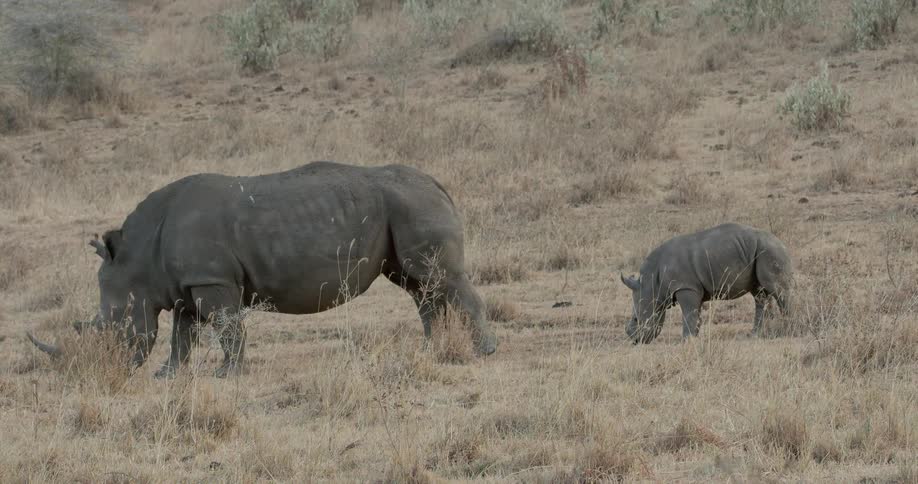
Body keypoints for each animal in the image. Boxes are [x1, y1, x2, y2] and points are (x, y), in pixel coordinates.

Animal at [27, 161, 498, 377]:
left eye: (109, 327)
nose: (99, 369)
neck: (138, 257)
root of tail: (438, 183)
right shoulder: (186, 284)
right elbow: (182, 334)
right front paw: (167, 375)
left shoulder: (211, 279)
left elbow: (227, 326)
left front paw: (227, 373)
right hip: (406, 207)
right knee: (419, 285)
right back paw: (431, 350)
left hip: (414, 204)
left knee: (440, 279)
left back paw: (483, 352)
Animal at [619, 223, 792, 344]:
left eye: (636, 319)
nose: (636, 341)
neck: (651, 282)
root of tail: (781, 242)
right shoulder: (694, 289)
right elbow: (696, 315)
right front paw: (694, 338)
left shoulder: (685, 286)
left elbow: (689, 313)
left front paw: (686, 340)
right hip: (761, 251)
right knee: (759, 294)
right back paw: (755, 335)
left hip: (770, 251)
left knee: (779, 291)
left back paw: (790, 329)